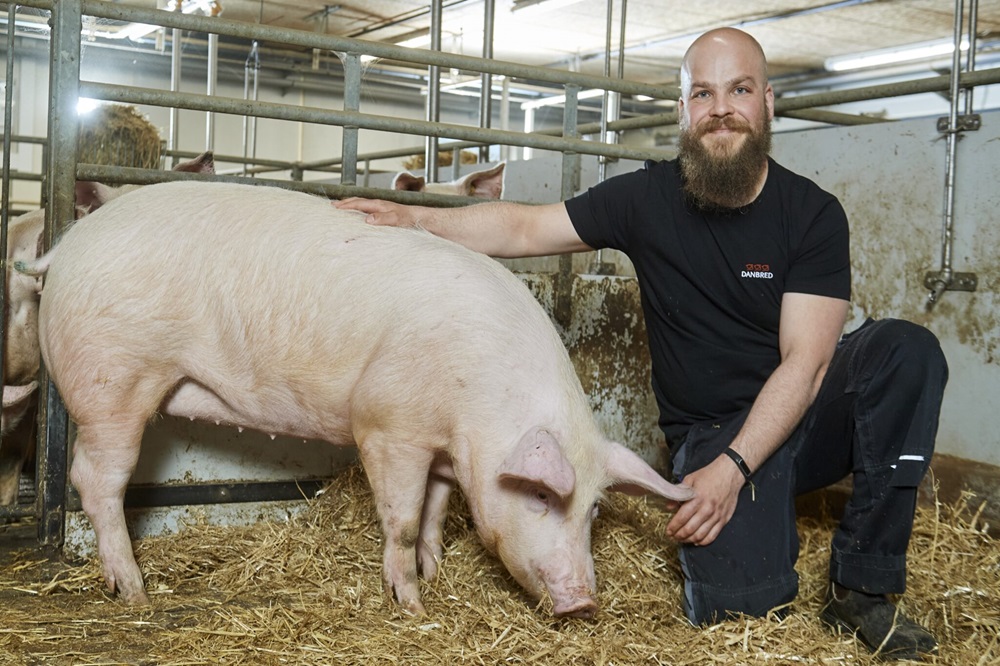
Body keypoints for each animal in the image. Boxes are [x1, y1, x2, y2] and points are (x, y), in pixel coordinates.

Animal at [17, 179, 688, 616]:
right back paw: (134, 592)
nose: (582, 603)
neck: (475, 407)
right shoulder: (389, 424)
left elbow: (436, 512)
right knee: (95, 479)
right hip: (112, 381)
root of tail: (66, 246)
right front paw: (412, 607)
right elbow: (403, 519)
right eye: (543, 495)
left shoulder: (441, 448)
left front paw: (435, 573)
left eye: (593, 510)